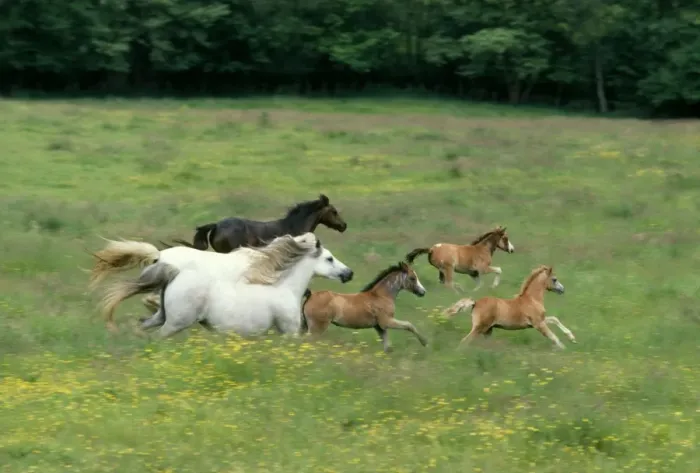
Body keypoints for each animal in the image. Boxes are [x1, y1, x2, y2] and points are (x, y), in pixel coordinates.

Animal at [98, 233, 354, 338]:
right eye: (329, 258)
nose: (349, 273)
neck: (282, 287)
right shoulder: (289, 331)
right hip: (175, 323)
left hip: (163, 316)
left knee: (143, 325)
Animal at [300, 261, 429, 352]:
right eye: (412, 278)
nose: (423, 292)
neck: (381, 296)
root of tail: (311, 294)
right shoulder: (386, 321)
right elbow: (409, 325)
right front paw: (424, 342)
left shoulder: (379, 327)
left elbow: (387, 347)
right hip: (317, 328)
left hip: (307, 326)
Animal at [442, 265, 575, 349]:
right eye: (554, 279)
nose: (562, 289)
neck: (532, 299)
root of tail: (476, 303)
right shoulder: (538, 324)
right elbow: (553, 337)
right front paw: (564, 348)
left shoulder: (539, 320)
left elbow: (554, 319)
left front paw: (572, 338)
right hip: (479, 328)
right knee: (464, 342)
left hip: (488, 330)